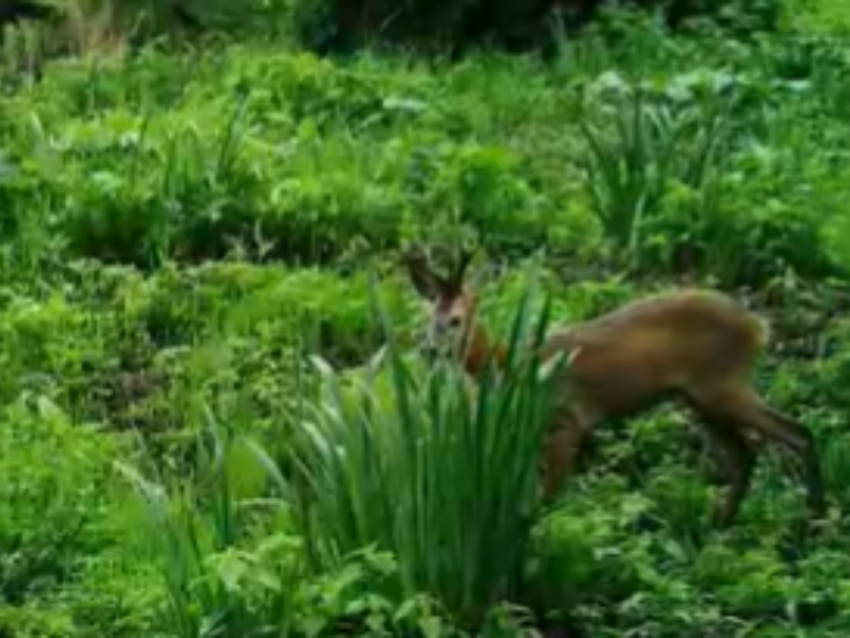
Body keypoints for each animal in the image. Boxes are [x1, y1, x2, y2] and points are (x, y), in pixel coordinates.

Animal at [400, 245, 824, 528]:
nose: (429, 350)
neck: (516, 368)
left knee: (798, 433)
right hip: (702, 398)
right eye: (429, 318)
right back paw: (717, 525)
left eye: (456, 320)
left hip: (723, 385)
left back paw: (811, 525)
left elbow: (545, 502)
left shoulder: (564, 423)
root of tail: (759, 327)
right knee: (746, 455)